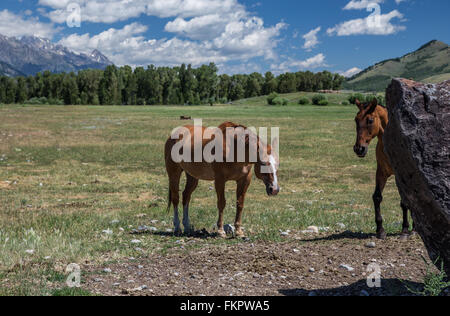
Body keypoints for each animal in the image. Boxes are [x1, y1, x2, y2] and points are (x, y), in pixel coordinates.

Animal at [354, 99, 414, 239]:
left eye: (370, 120)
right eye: (356, 120)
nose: (359, 149)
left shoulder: (400, 175)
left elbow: (404, 201)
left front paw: (405, 229)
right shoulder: (381, 172)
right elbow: (377, 197)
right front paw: (380, 230)